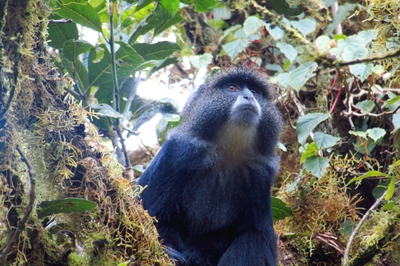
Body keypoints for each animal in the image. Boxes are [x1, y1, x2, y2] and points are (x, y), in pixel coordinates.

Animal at [139, 68, 282, 266]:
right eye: (232, 88)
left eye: (255, 91)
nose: (248, 97)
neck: (228, 151)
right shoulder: (179, 153)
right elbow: (156, 217)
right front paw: (171, 254)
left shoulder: (259, 172)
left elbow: (255, 233)